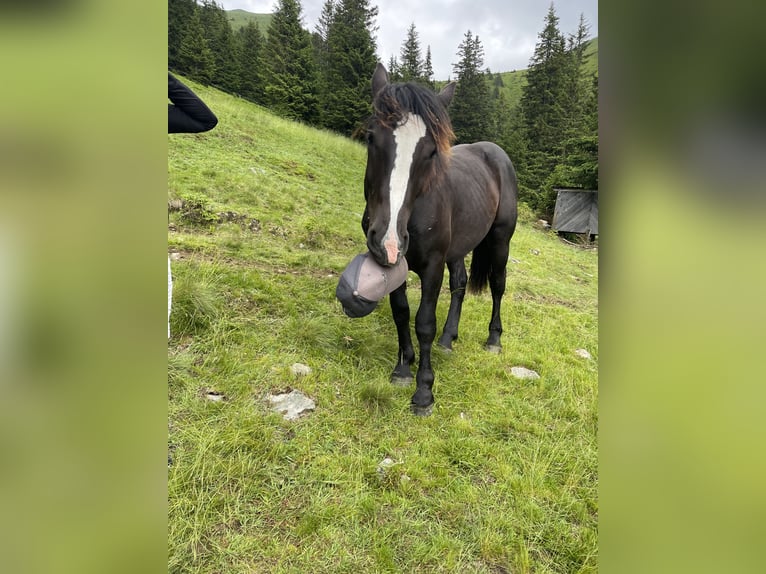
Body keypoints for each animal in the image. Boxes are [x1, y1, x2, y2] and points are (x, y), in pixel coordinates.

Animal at [364, 63, 520, 416]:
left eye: (431, 151)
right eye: (370, 137)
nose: (388, 240)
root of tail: (495, 152)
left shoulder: (433, 266)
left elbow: (423, 322)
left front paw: (424, 392)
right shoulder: (393, 264)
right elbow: (401, 311)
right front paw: (403, 368)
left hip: (500, 241)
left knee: (498, 284)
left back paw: (494, 339)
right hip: (458, 248)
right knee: (460, 283)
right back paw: (449, 338)